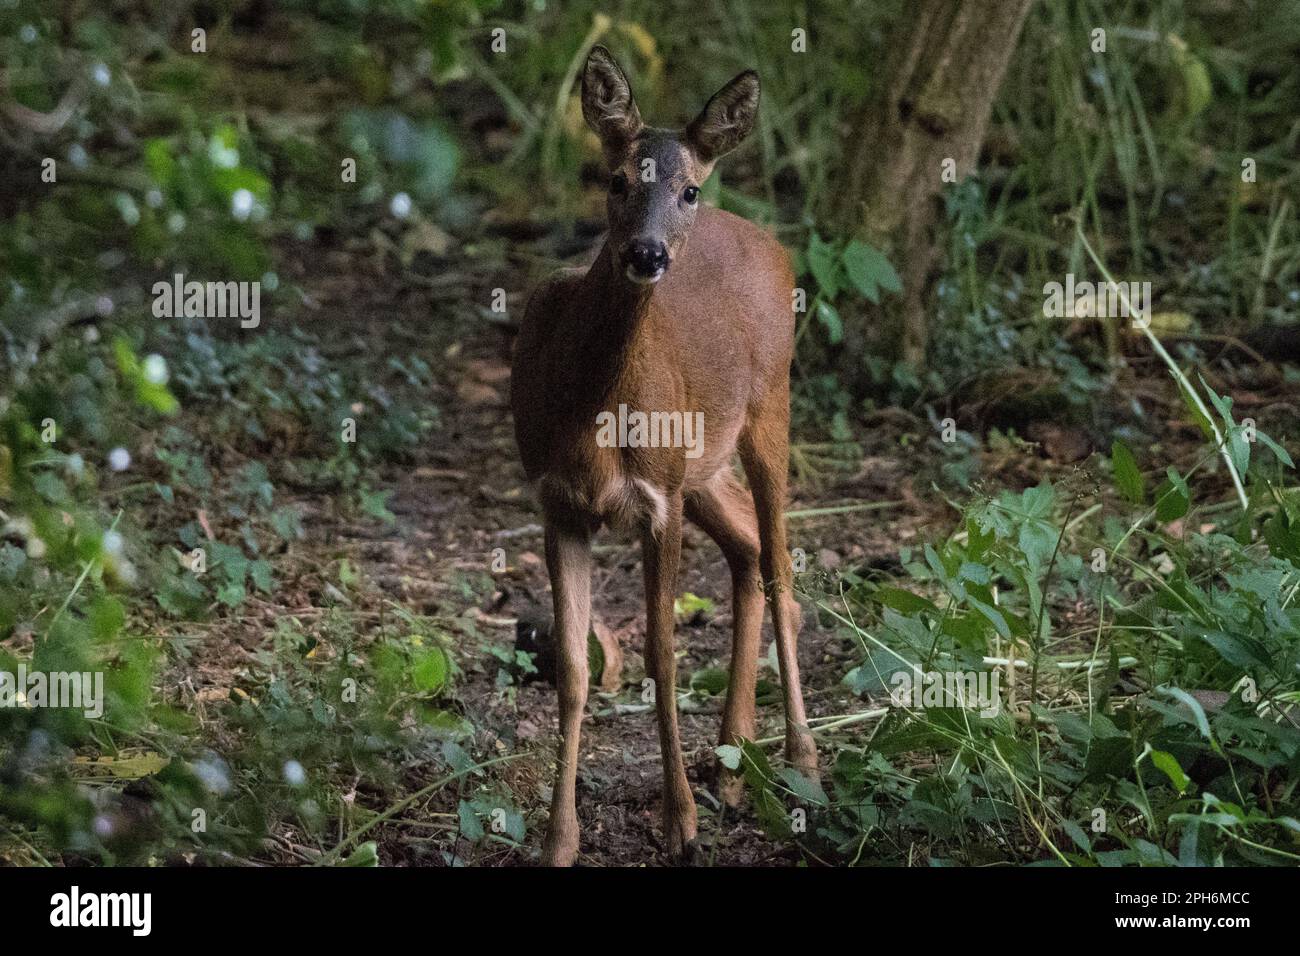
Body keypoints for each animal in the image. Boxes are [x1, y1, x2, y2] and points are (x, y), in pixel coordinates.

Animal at [512, 44, 816, 868]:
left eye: (688, 189)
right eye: (616, 179)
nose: (646, 253)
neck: (595, 409)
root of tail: (766, 240)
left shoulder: (656, 503)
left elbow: (663, 655)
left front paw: (680, 824)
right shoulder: (558, 502)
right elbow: (575, 670)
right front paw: (559, 839)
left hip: (770, 408)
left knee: (780, 565)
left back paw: (802, 761)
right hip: (701, 466)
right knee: (750, 552)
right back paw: (734, 763)